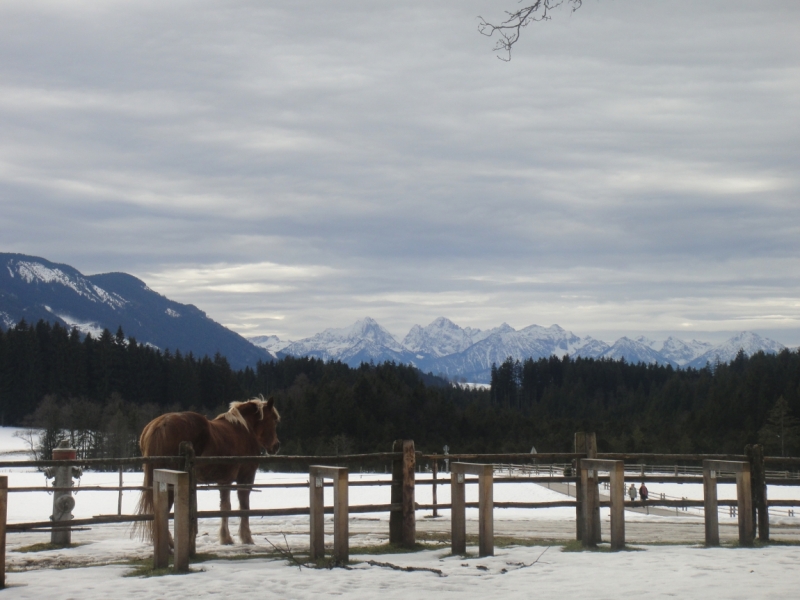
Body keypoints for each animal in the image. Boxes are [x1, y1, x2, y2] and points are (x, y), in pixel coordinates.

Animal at [133, 396, 280, 548]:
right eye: (274, 420)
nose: (276, 446)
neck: (245, 430)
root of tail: (160, 425)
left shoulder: (224, 481)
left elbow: (225, 507)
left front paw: (225, 538)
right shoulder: (245, 478)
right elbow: (244, 506)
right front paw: (246, 538)